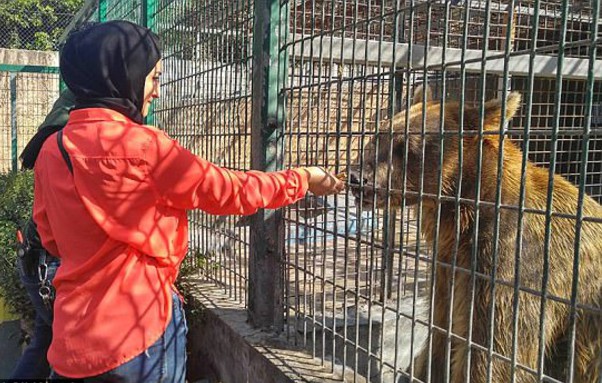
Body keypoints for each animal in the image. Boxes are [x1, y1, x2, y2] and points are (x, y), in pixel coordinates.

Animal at [350, 87, 600, 383]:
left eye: (407, 146)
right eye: (379, 135)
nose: (357, 177)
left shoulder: (512, 262)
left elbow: (493, 349)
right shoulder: (449, 263)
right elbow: (442, 329)